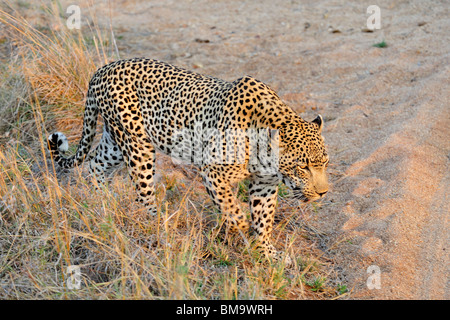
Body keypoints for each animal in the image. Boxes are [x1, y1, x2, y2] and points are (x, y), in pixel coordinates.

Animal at [48, 58, 330, 262]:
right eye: (303, 166)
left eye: (325, 163)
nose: (323, 192)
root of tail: (102, 70)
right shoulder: (213, 172)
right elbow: (233, 210)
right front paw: (235, 232)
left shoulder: (264, 183)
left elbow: (264, 219)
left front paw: (268, 254)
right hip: (138, 146)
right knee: (143, 194)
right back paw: (160, 228)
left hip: (117, 142)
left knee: (95, 163)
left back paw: (102, 202)